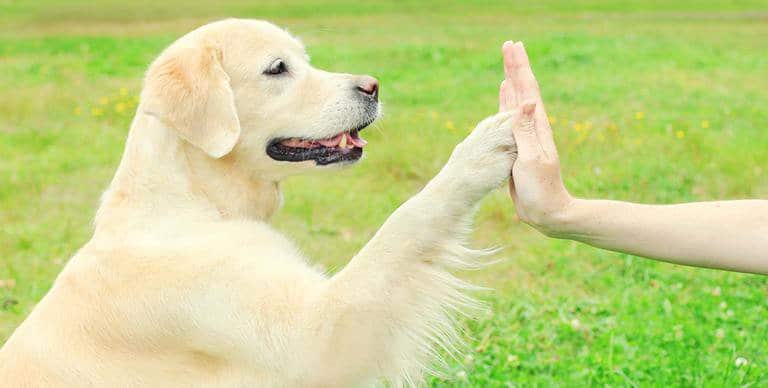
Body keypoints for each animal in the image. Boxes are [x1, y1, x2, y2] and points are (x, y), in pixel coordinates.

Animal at [0, 19, 520, 388]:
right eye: (277, 69)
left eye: (304, 60)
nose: (373, 86)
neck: (195, 200)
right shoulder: (316, 335)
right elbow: (405, 224)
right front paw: (480, 151)